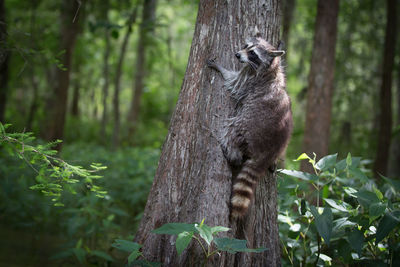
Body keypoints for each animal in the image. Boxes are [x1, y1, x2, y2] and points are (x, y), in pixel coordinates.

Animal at [208, 35, 292, 220]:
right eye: (246, 46)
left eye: (253, 53)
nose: (237, 55)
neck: (270, 70)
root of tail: (268, 152)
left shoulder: (250, 80)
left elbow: (233, 82)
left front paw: (221, 69)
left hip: (246, 127)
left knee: (231, 132)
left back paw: (230, 152)